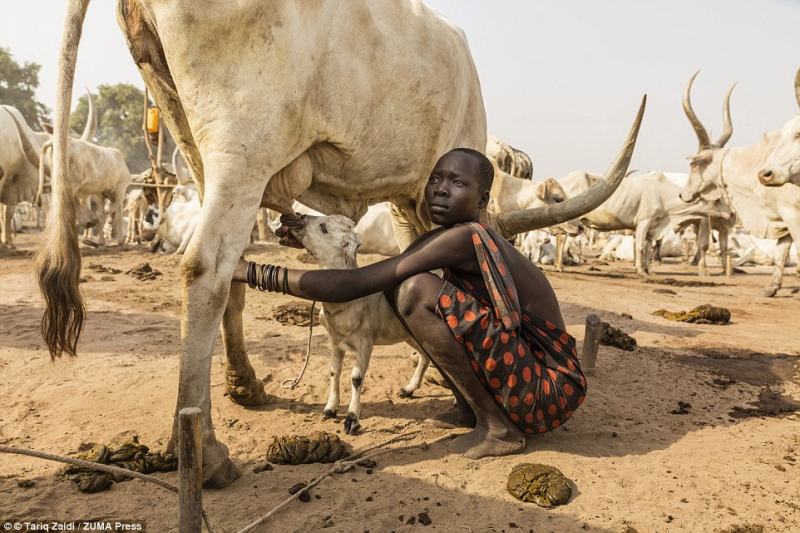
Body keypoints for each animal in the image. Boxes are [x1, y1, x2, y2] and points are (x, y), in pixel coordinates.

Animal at [43, 0, 644, 486]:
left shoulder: (411, 197)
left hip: (191, 136)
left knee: (230, 272)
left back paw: (246, 388)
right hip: (244, 142)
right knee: (206, 267)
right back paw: (205, 455)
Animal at [680, 68, 800, 298]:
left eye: (694, 165)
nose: (683, 194)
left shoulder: (791, 213)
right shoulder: (782, 219)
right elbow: (781, 252)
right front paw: (771, 287)